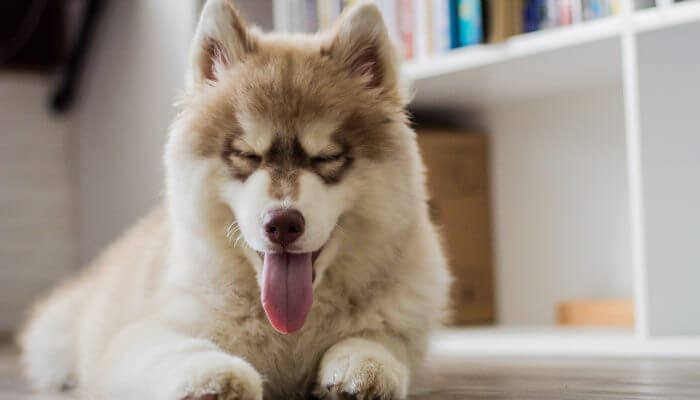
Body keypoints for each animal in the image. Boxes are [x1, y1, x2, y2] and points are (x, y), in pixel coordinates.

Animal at [21, 1, 452, 398]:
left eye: (325, 158)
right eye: (247, 155)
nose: (282, 224)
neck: (290, 331)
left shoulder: (404, 324)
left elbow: (379, 340)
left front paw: (363, 365)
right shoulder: (137, 335)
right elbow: (176, 348)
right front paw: (215, 375)